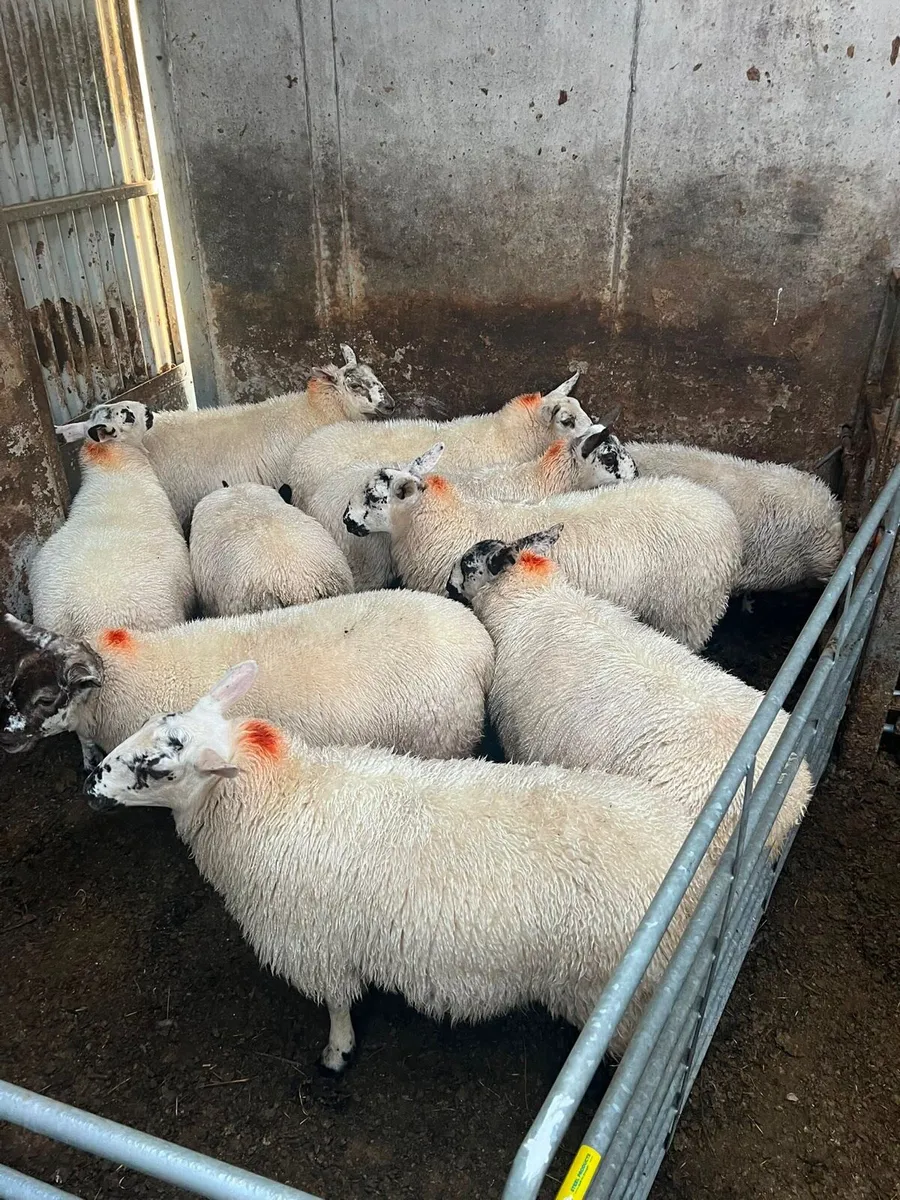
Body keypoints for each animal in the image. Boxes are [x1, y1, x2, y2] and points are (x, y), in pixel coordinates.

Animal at [85, 660, 712, 1071]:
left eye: (158, 768)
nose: (91, 784)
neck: (278, 798)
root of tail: (692, 869)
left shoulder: (317, 940)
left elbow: (337, 1003)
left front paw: (337, 1052)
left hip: (617, 994)